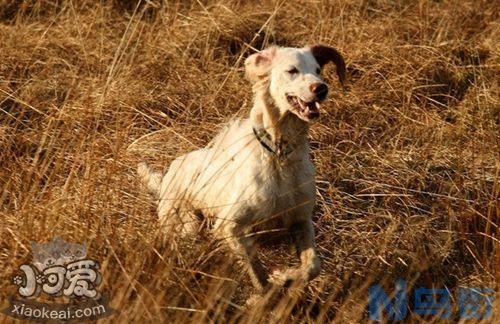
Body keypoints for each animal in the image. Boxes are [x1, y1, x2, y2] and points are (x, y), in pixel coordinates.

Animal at [139, 45, 346, 292]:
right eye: (292, 70)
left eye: (318, 70)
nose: (321, 88)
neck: (279, 155)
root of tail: (169, 173)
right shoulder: (230, 226)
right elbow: (258, 276)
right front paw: (266, 291)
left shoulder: (301, 219)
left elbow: (313, 266)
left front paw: (285, 277)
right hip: (186, 226)